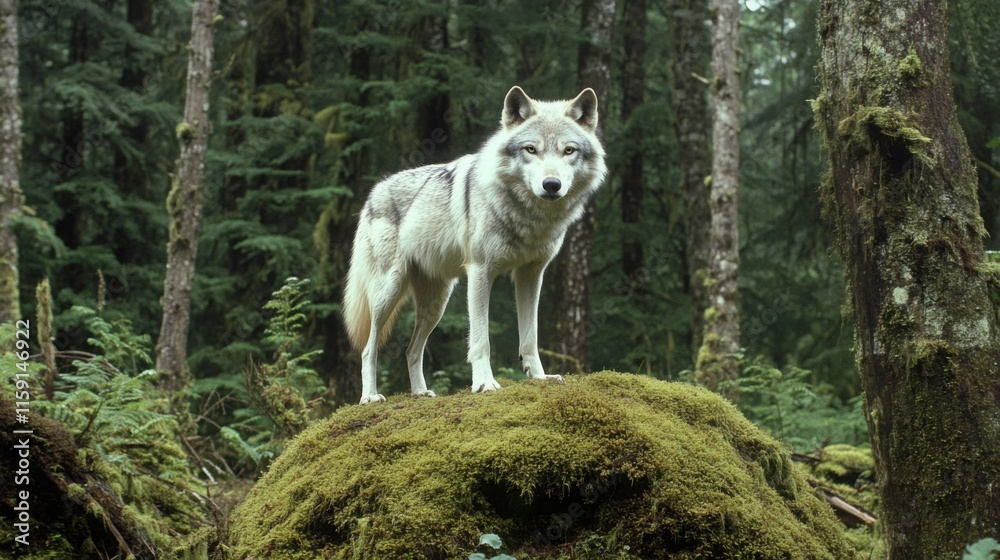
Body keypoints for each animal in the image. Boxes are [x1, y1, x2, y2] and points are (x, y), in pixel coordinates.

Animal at [343, 86, 607, 404]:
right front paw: (484, 383)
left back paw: (420, 393)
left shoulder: (531, 275)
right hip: (388, 292)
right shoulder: (481, 271)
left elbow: (530, 338)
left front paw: (540, 378)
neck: (528, 217)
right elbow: (481, 340)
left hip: (436, 305)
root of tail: (373, 193)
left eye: (569, 150)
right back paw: (370, 396)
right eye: (531, 149)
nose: (551, 185)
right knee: (368, 348)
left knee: (411, 349)